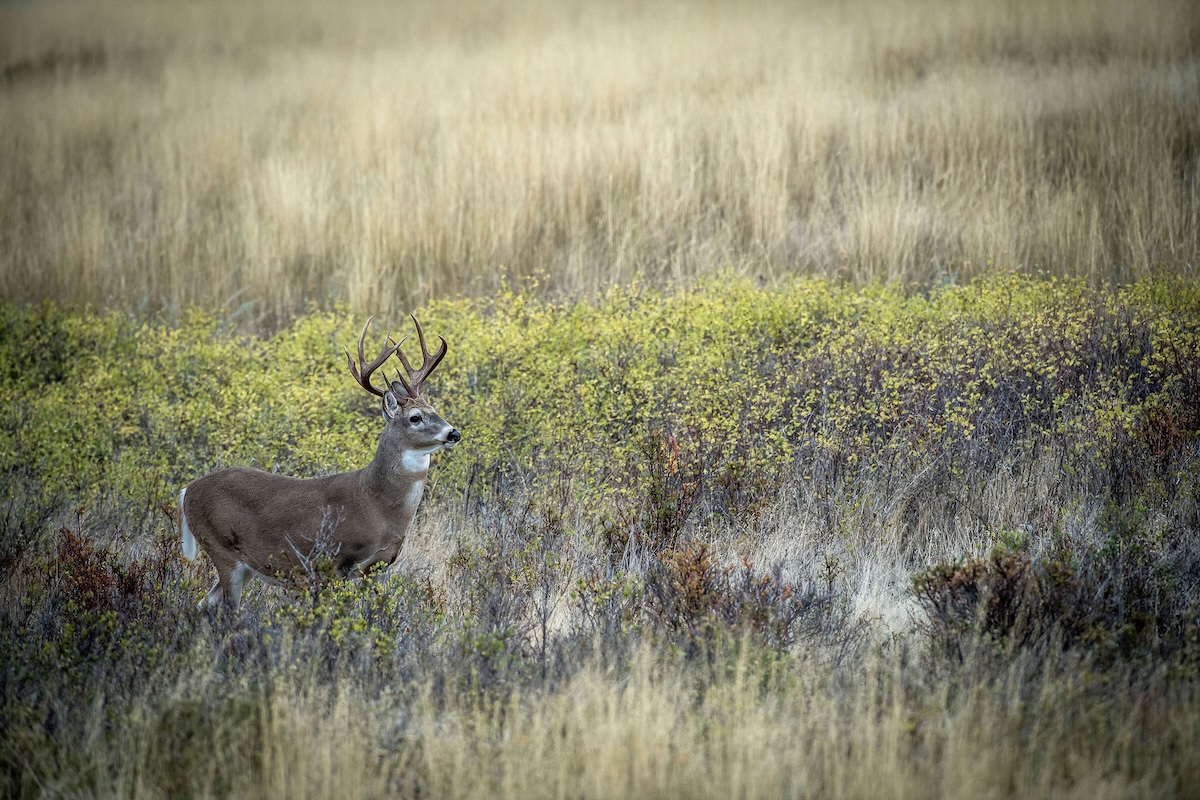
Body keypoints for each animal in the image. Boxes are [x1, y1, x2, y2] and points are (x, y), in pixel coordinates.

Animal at [179, 315, 461, 611]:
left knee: (202, 605)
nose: (454, 433)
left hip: (244, 566)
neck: (376, 503)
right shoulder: (332, 562)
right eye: (415, 417)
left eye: (434, 409)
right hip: (222, 549)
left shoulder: (378, 566)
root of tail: (186, 491)